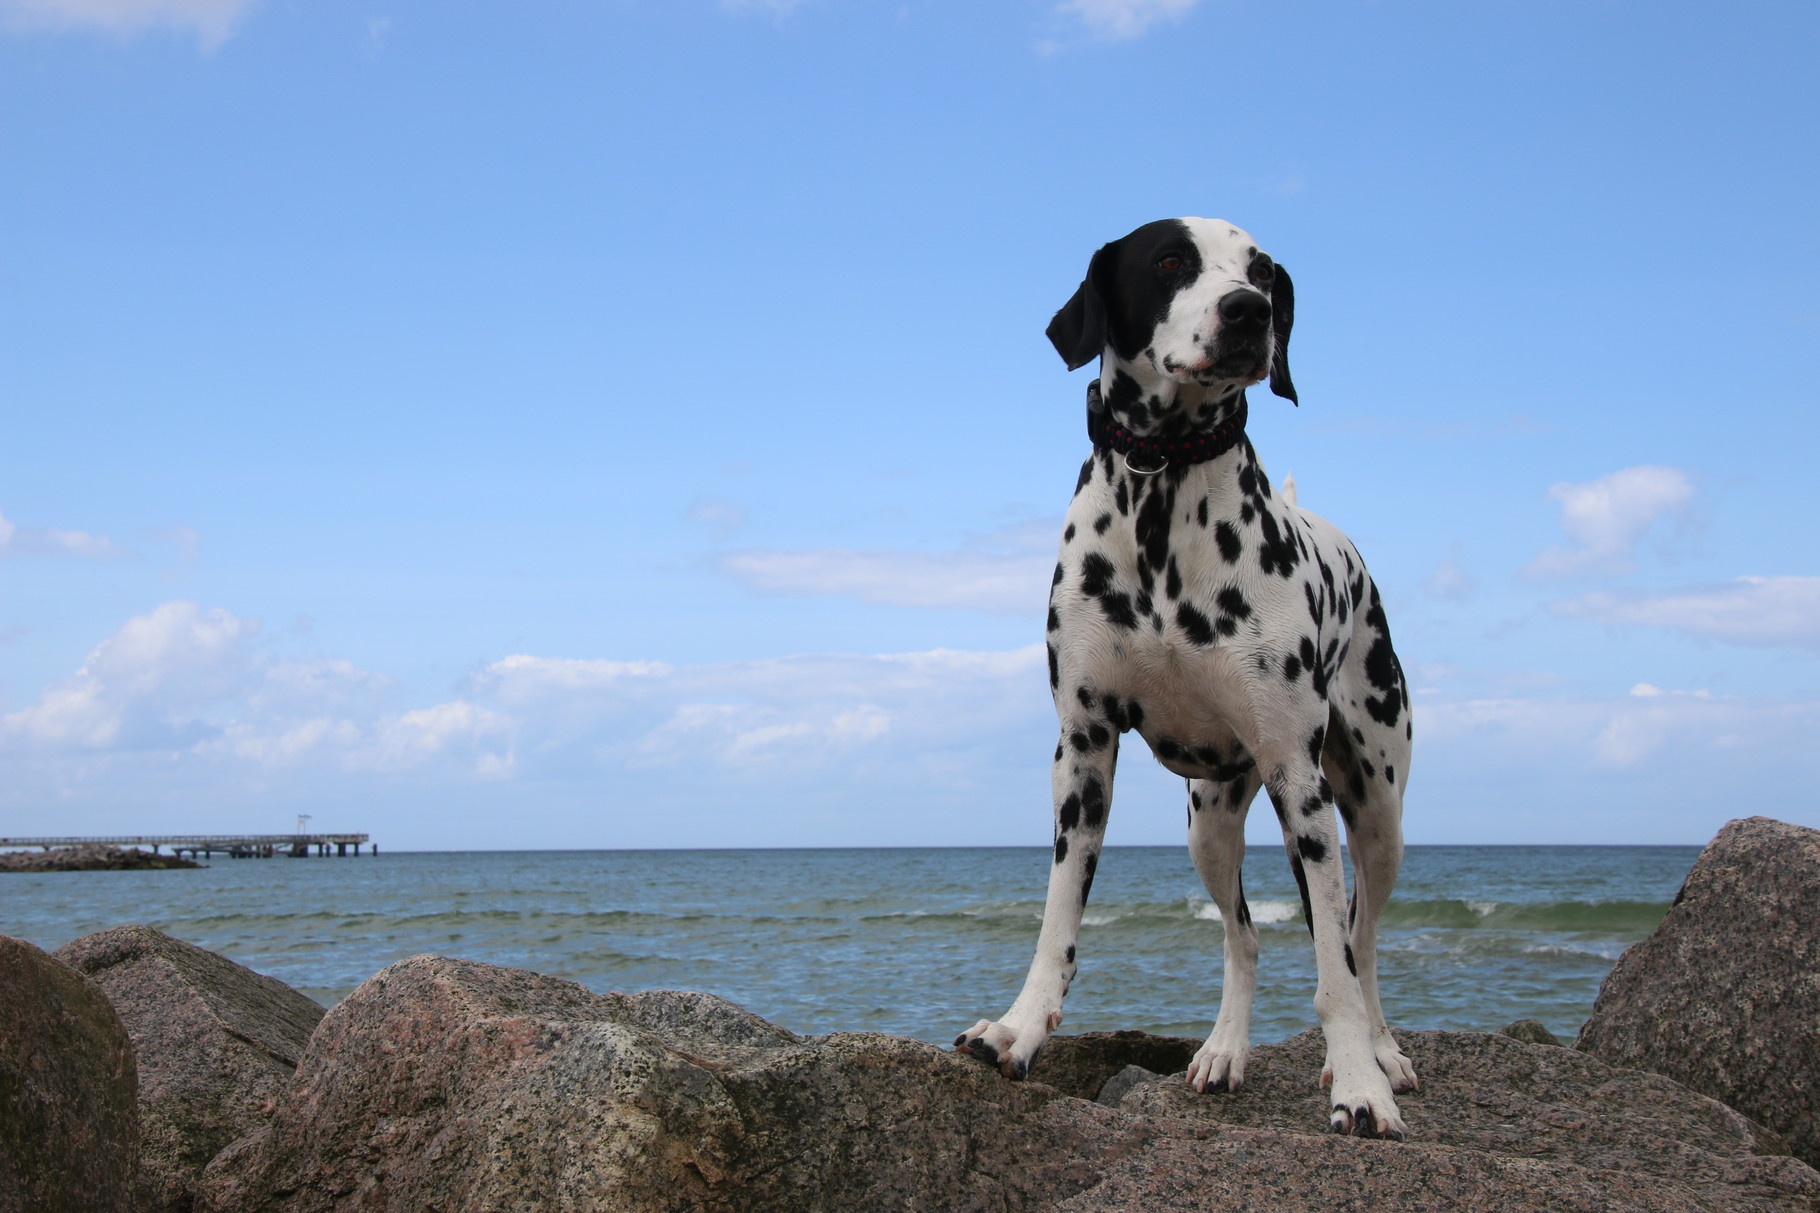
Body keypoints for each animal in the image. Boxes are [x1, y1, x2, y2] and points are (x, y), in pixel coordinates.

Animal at [953, 214, 1419, 1136]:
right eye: (1170, 260)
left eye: (1263, 274)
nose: (1248, 313)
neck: (1163, 492)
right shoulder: (1083, 752)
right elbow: (1059, 919)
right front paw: (1019, 1030)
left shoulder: (1297, 772)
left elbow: (1335, 970)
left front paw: (1357, 1083)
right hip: (1212, 823)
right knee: (1244, 935)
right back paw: (1223, 1051)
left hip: (1370, 808)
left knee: (1360, 937)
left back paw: (1382, 1052)